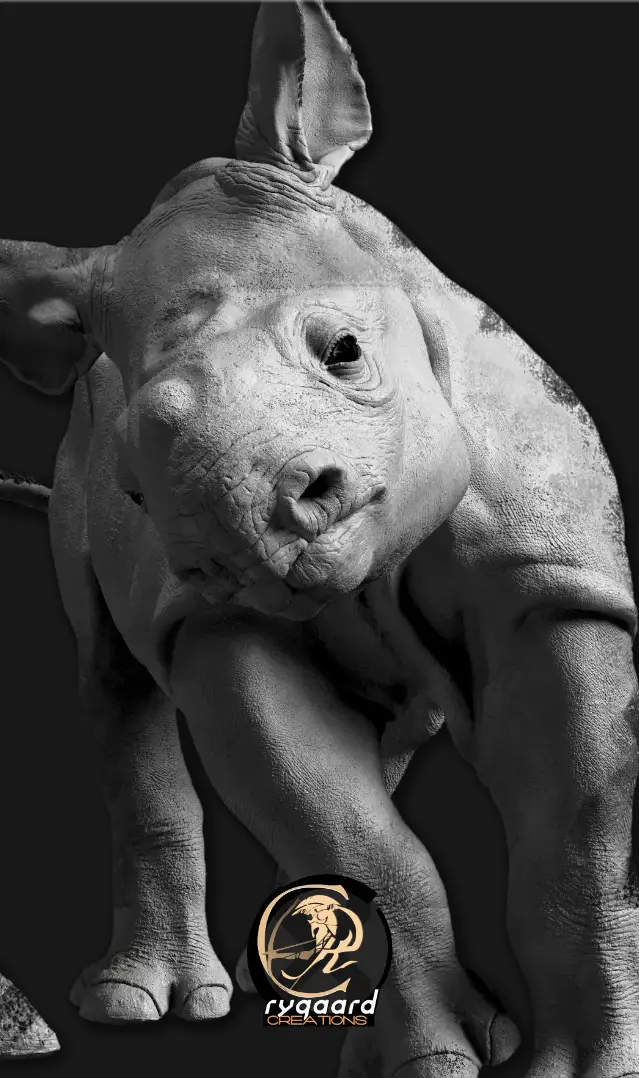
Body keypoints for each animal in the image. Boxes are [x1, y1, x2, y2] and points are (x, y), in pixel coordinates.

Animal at [1, 2, 638, 1075]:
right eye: (133, 486)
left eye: (343, 351)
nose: (247, 541)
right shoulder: (208, 619)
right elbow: (342, 825)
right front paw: (432, 1062)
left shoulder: (550, 579)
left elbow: (581, 822)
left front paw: (584, 1064)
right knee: (112, 681)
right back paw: (149, 1001)